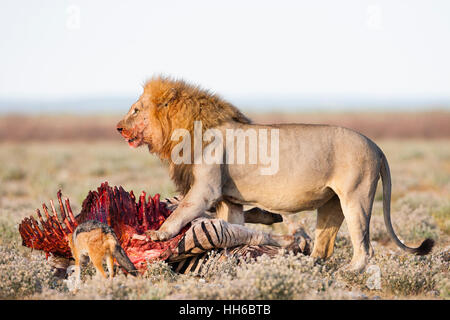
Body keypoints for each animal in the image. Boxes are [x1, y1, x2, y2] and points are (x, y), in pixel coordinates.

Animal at [118, 76, 434, 272]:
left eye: (135, 110)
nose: (118, 128)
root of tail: (377, 147)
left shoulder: (205, 189)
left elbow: (182, 211)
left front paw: (157, 233)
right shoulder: (230, 201)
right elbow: (233, 228)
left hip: (356, 197)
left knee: (364, 248)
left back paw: (348, 271)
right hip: (332, 204)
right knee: (323, 247)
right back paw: (304, 266)